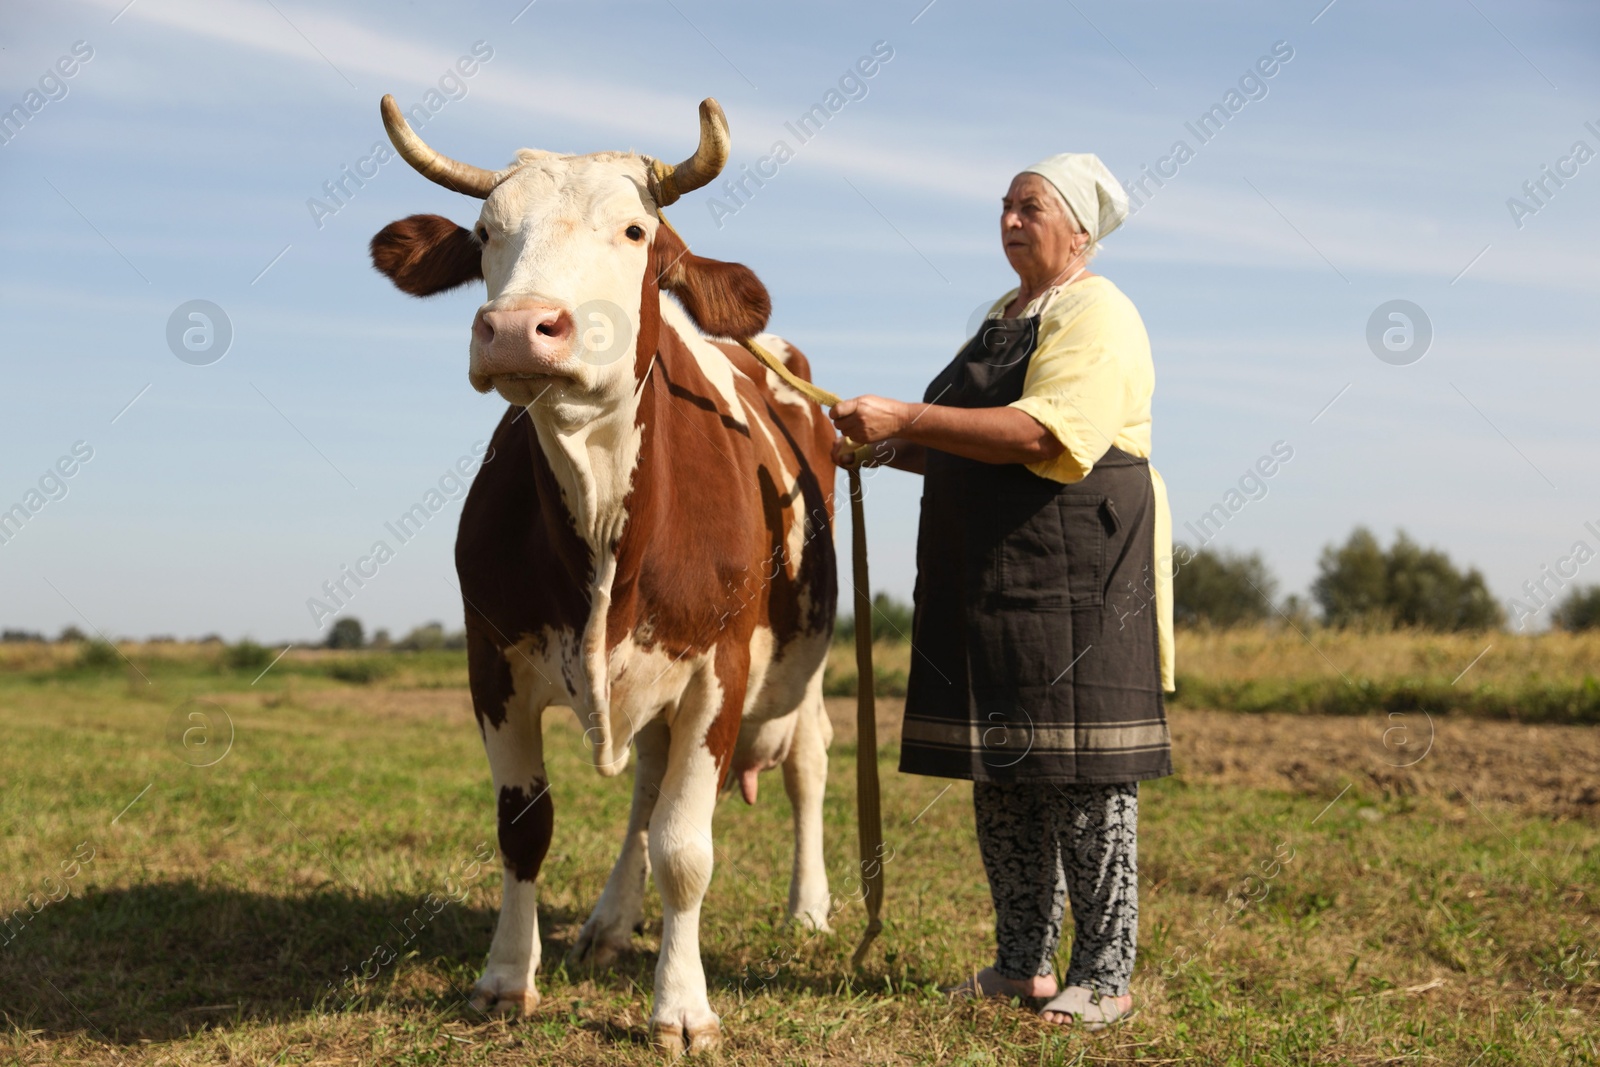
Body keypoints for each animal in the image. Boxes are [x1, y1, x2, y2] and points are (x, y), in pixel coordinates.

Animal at [364, 95, 838, 1055]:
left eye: (634, 230)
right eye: (486, 232)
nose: (517, 327)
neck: (599, 504)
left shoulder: (719, 670)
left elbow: (687, 850)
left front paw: (682, 1007)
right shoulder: (492, 660)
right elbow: (526, 827)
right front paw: (508, 977)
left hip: (800, 662)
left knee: (806, 762)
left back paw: (808, 906)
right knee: (646, 790)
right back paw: (613, 921)